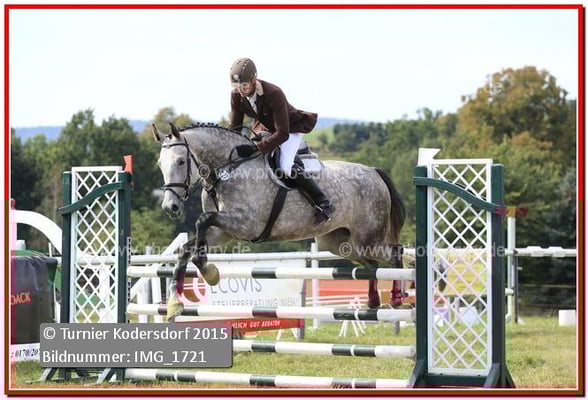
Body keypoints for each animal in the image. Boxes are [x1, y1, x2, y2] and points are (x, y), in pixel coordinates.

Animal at [152, 122, 407, 321]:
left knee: (396, 253)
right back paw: (373, 302)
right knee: (372, 265)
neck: (228, 170)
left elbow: (203, 220)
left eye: (180, 162)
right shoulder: (223, 233)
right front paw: (175, 305)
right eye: (160, 165)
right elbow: (186, 248)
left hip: (368, 238)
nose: (170, 207)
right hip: (341, 243)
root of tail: (373, 172)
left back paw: (396, 299)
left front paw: (208, 270)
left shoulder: (246, 224)